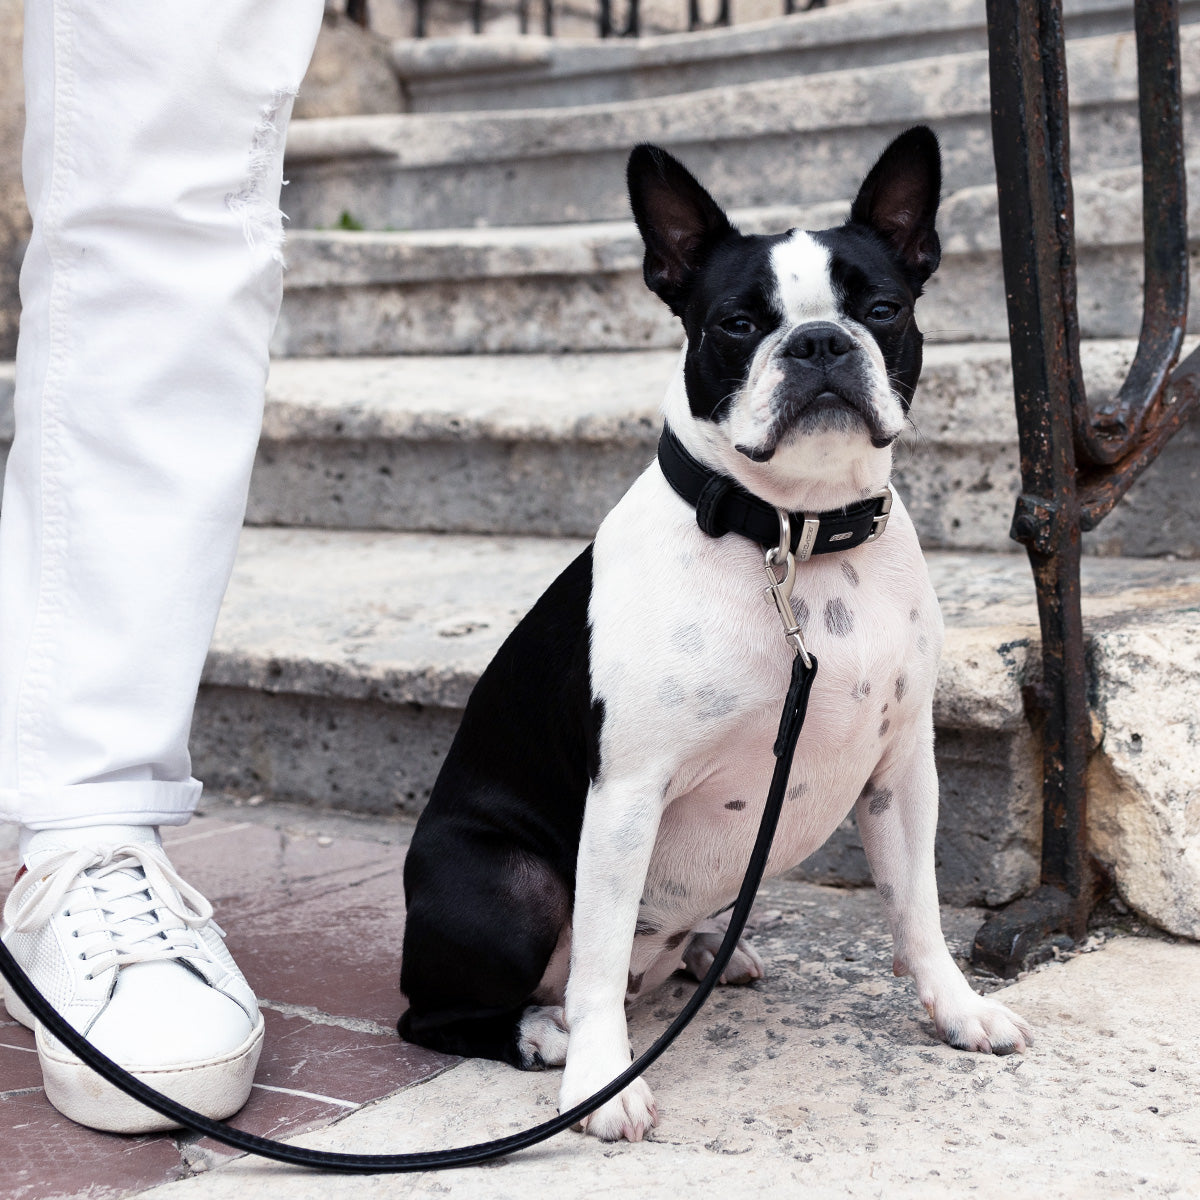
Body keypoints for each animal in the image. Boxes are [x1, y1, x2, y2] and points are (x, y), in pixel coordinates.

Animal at [400, 129, 1032, 1142]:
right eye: (737, 323)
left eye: (883, 309)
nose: (819, 341)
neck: (795, 537)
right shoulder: (626, 795)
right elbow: (597, 957)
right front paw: (601, 1081)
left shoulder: (901, 772)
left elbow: (919, 909)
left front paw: (958, 1008)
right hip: (508, 882)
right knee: (442, 1011)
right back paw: (543, 1035)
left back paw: (708, 954)